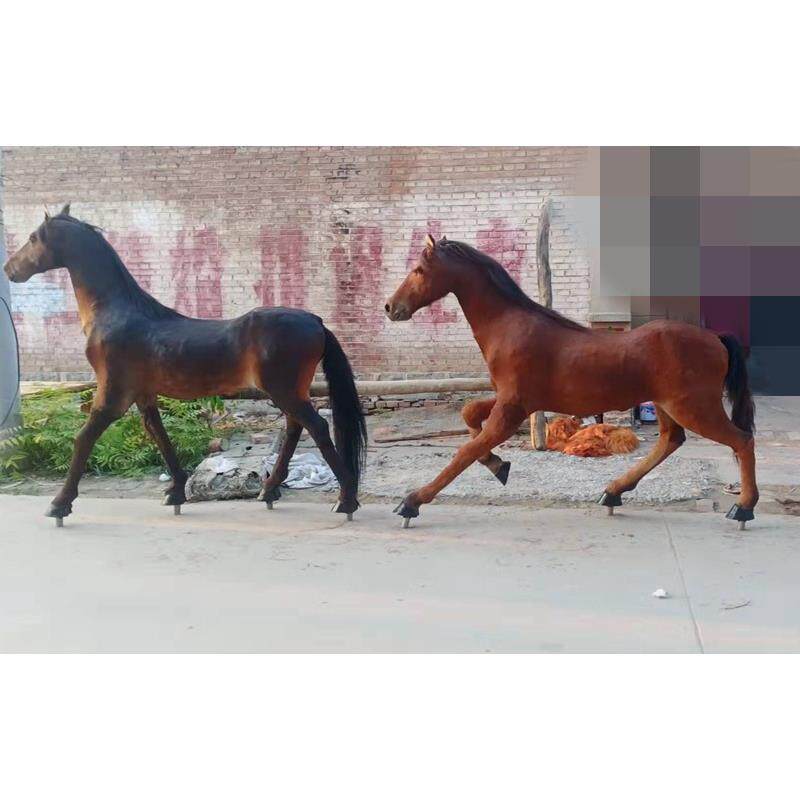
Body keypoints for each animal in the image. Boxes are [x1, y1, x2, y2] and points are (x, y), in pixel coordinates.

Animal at [3, 207, 367, 526]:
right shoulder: (143, 395)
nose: (9, 270)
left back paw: (346, 500)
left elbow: (83, 439)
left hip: (285, 392)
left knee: (317, 428)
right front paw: (176, 492)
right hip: (291, 393)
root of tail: (315, 320)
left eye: (34, 238)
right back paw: (269, 490)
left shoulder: (112, 394)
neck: (118, 313)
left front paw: (59, 505)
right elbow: (158, 434)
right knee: (295, 429)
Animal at [385, 235, 757, 529]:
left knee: (742, 440)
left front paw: (411, 502)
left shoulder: (511, 408)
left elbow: (464, 450)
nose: (390, 307)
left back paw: (742, 509)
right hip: (669, 406)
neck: (509, 325)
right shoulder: (514, 400)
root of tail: (716, 339)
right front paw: (499, 465)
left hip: (695, 408)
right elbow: (469, 415)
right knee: (670, 441)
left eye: (419, 270)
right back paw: (612, 493)